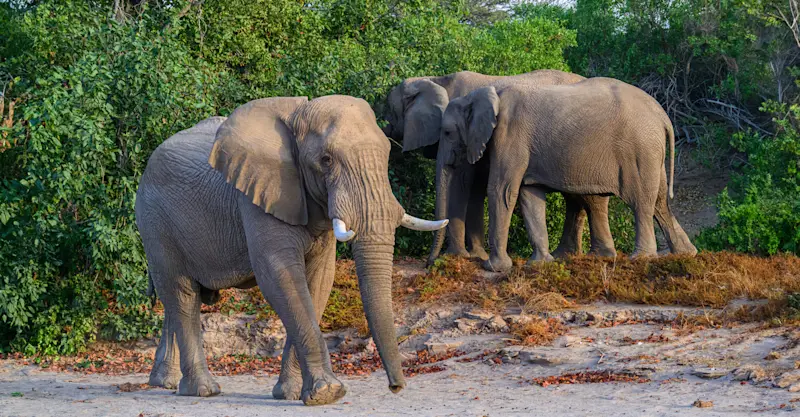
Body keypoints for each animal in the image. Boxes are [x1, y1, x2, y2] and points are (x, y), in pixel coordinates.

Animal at [135, 96, 448, 405]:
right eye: (326, 160)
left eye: (386, 153)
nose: (396, 387)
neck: (299, 115)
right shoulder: (259, 193)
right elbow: (279, 274)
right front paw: (328, 393)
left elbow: (319, 281)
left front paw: (293, 393)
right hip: (155, 221)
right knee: (182, 294)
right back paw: (201, 389)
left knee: (178, 299)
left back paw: (165, 382)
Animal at [383, 70, 617, 266]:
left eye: (388, 111)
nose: (429, 264)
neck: (438, 79)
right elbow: (475, 189)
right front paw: (476, 255)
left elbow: (461, 183)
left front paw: (458, 257)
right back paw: (565, 256)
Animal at [437, 77, 698, 272]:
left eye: (448, 132)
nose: (433, 262)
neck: (486, 93)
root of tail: (662, 115)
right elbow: (529, 196)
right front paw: (540, 264)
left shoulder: (509, 135)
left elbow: (502, 191)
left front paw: (494, 267)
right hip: (651, 152)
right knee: (660, 202)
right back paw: (686, 253)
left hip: (639, 149)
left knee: (641, 201)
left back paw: (642, 258)